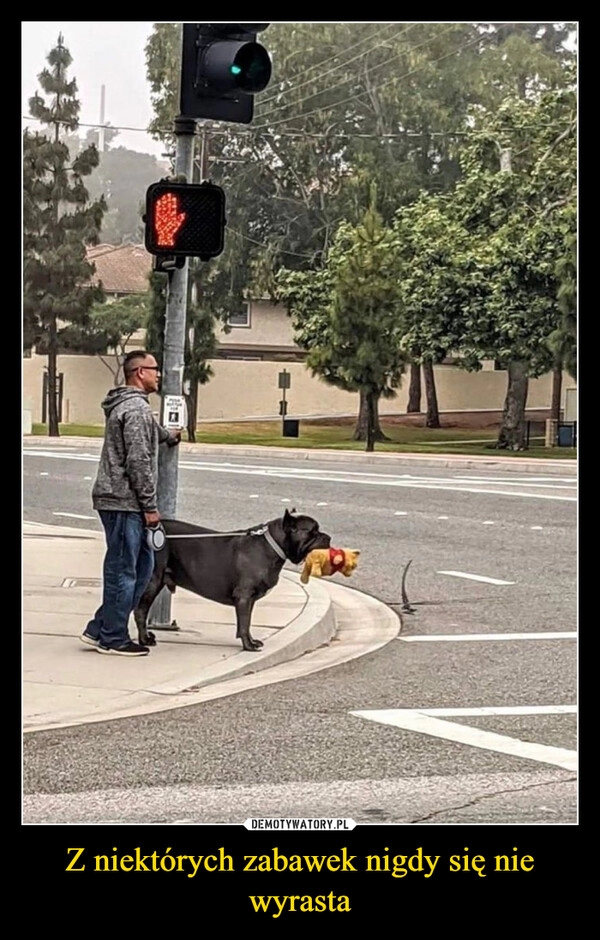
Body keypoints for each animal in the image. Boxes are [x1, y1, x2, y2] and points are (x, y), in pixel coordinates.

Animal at [134, 510, 330, 648]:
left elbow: (247, 622)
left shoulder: (249, 600)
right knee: (140, 611)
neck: (272, 546)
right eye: (313, 531)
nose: (328, 537)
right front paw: (248, 645)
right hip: (152, 581)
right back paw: (144, 639)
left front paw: (251, 640)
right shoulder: (244, 596)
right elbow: (243, 623)